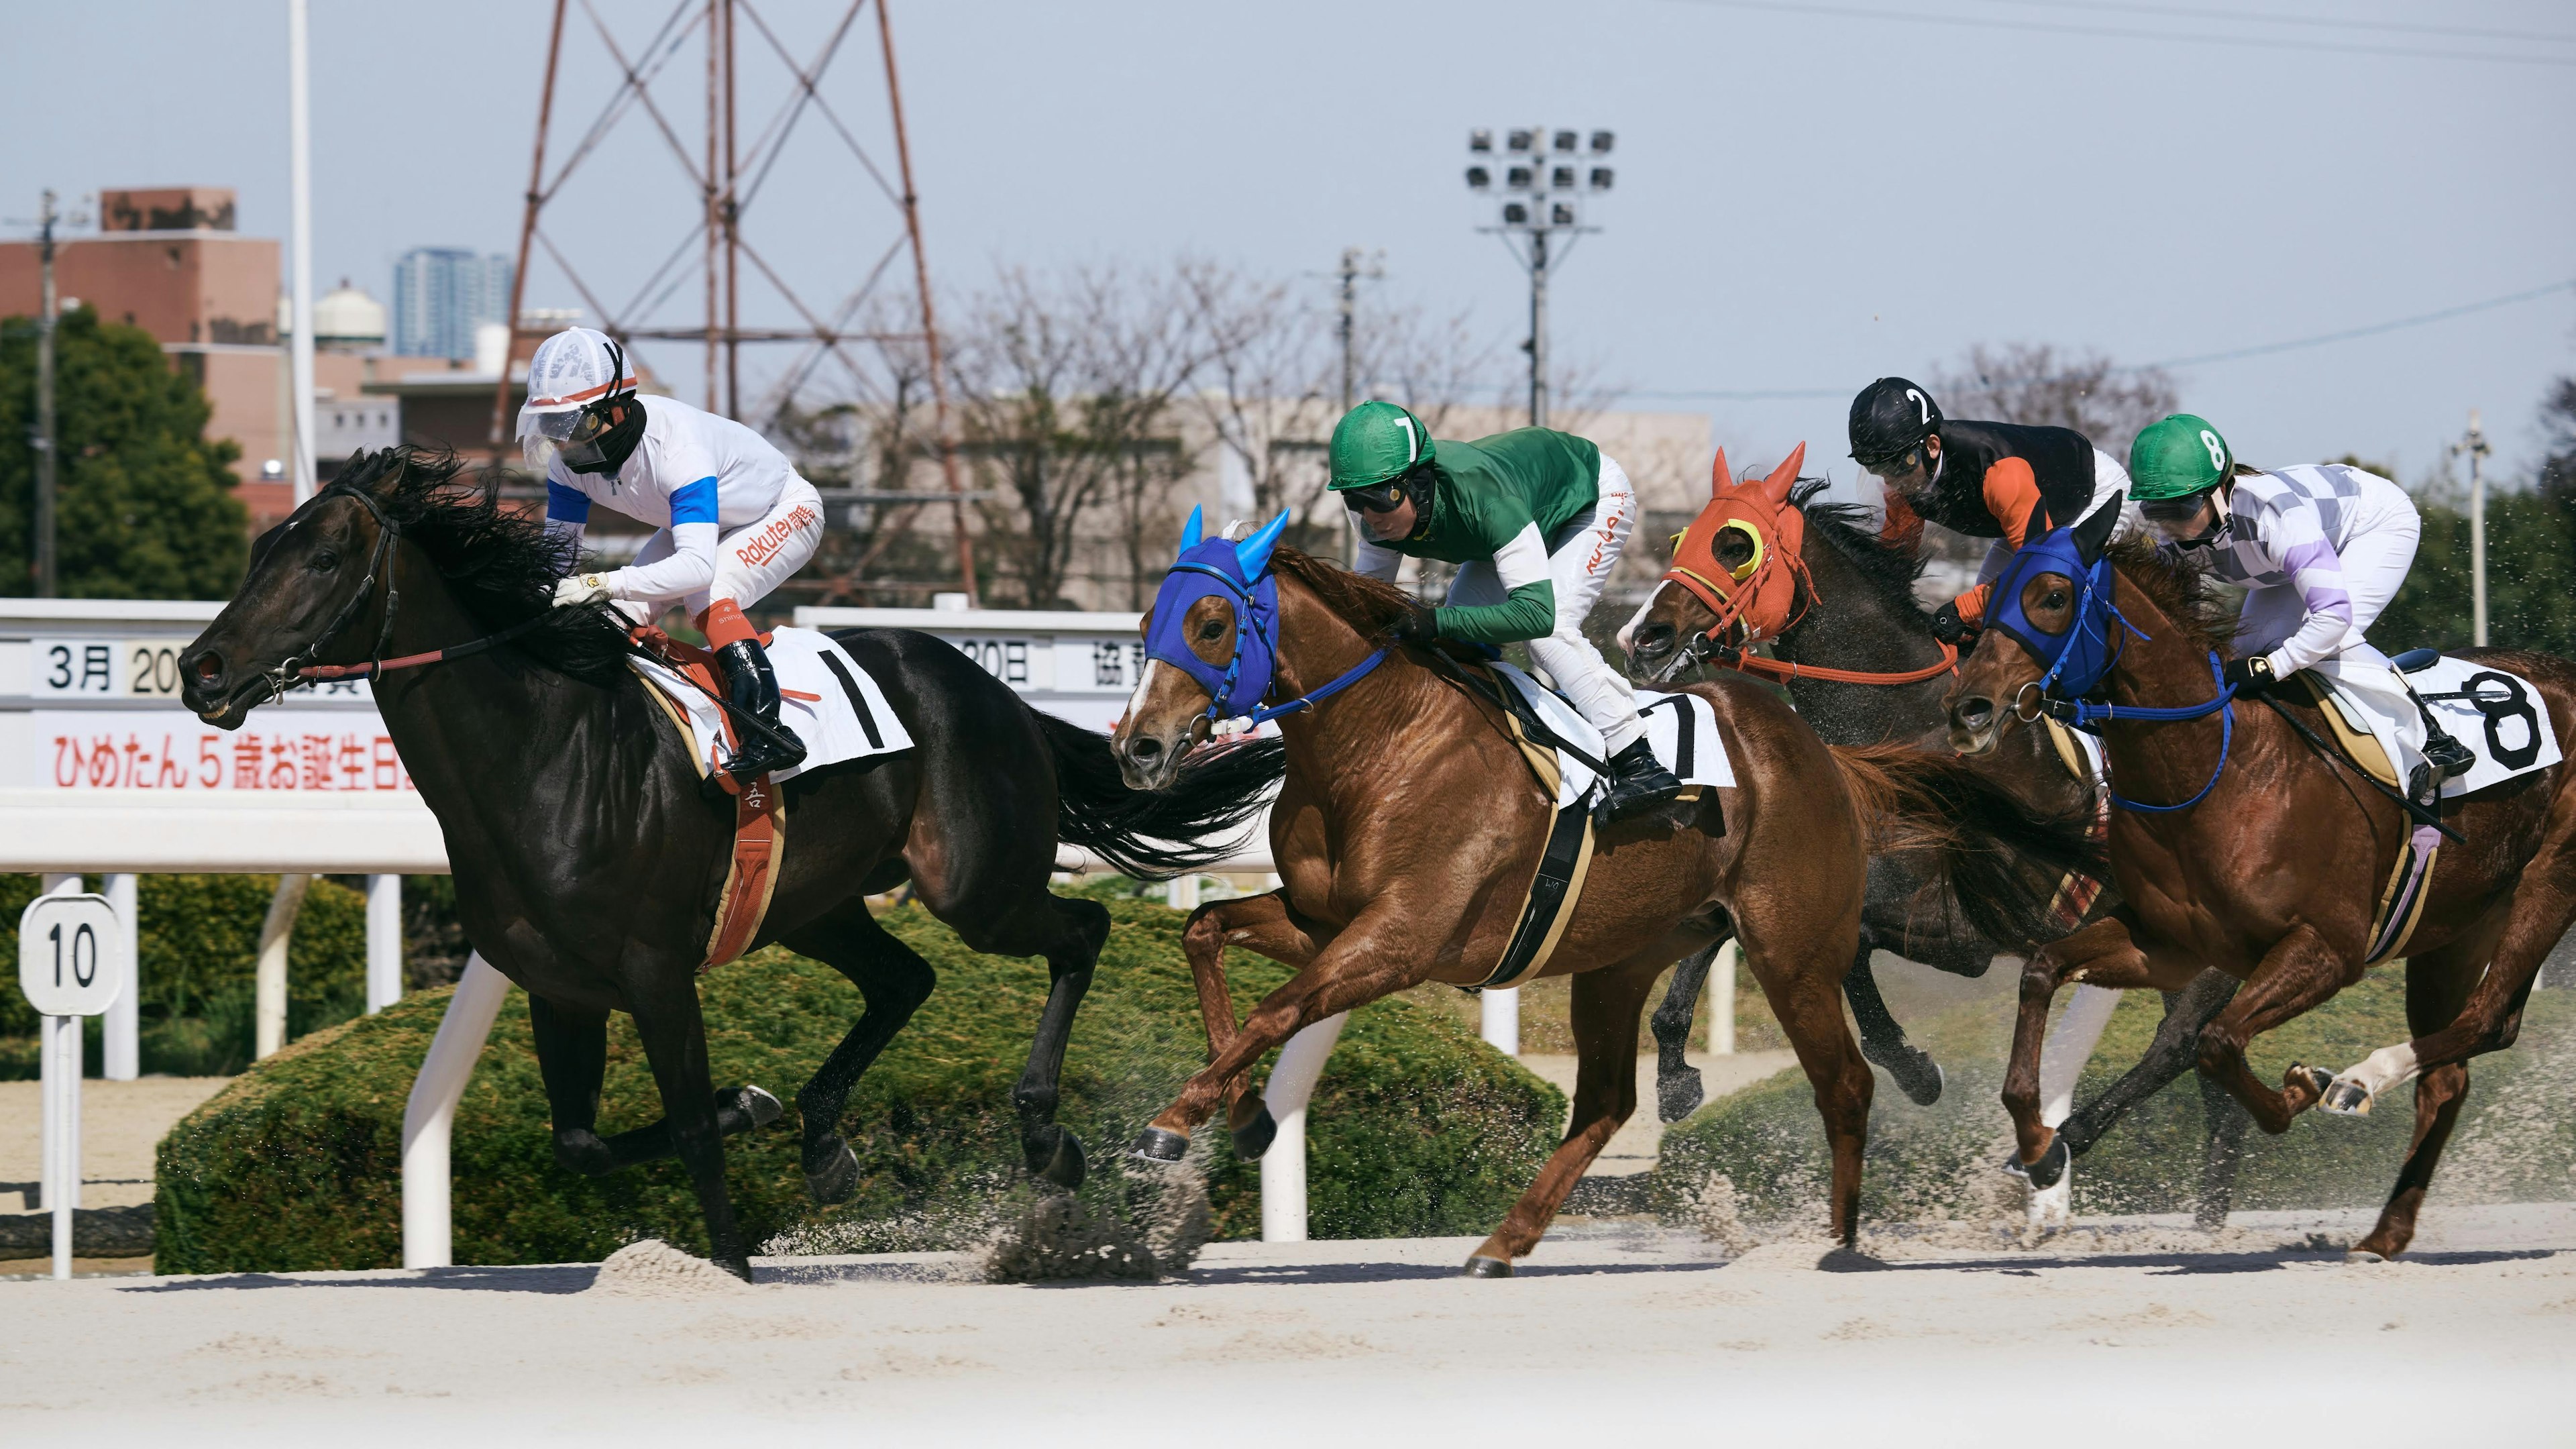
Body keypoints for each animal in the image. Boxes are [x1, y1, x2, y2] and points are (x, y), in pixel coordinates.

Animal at [176, 445, 1283, 1268]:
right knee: (906, 979)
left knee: (1080, 932)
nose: (202, 669)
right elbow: (580, 1143)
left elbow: (695, 1139)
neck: (542, 754)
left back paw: (1046, 1136)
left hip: (976, 884)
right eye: (262, 546)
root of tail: (996, 694)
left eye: (323, 558)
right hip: (817, 904)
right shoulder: (557, 986)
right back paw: (828, 1140)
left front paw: (733, 1254)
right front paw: (753, 1105)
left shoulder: (657, 975)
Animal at [1108, 515, 2092, 1263]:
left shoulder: (1401, 939)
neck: (1382, 743)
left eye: (1209, 622)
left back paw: (1847, 1240)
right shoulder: (1329, 921)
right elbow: (1205, 934)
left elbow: (1280, 1010)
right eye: (1151, 619)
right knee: (1610, 1102)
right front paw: (1240, 1116)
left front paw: (1172, 1122)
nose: (1139, 746)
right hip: (1627, 957)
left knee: (1843, 1079)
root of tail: (1821, 752)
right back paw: (1505, 1241)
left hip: (1791, 945)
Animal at [1627, 445, 2256, 1212]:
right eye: (1680, 539)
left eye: (1735, 546)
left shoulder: (1961, 930)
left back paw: (2059, 1148)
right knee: (2217, 1098)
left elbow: (1854, 955)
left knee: (2177, 1045)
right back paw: (2205, 1215)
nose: (1644, 639)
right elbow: (1728, 936)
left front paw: (1916, 1070)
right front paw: (1673, 1074)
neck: (1895, 724)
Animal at [1947, 505, 2576, 1252]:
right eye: (1992, 597)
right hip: (2457, 926)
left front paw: (2304, 1088)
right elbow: (2043, 971)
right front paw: (2040, 1149)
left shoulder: (2326, 950)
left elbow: (2215, 1043)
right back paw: (2384, 1234)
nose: (1969, 710)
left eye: (2052, 597)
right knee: (2451, 1073)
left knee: (2487, 1021)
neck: (2218, 770)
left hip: (2547, 885)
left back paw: (2359, 1083)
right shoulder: (2167, 944)